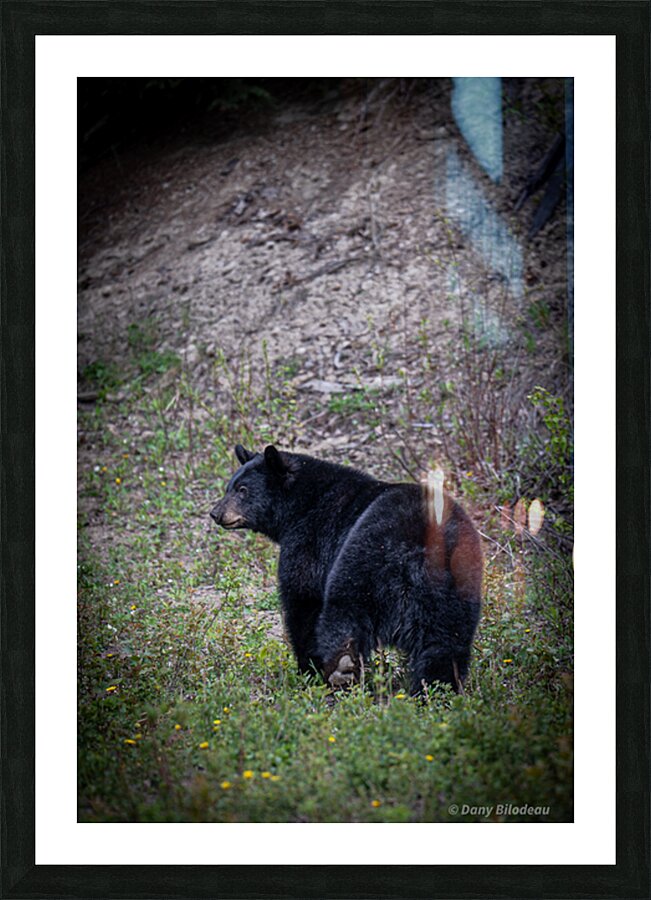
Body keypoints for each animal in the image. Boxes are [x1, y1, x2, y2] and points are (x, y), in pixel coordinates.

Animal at [210, 444, 482, 695]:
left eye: (242, 490)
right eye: (229, 487)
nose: (216, 513)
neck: (301, 504)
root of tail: (418, 552)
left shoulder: (309, 541)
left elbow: (302, 602)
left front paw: (308, 669)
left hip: (362, 564)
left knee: (343, 618)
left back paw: (341, 670)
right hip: (456, 588)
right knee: (445, 643)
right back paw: (436, 690)